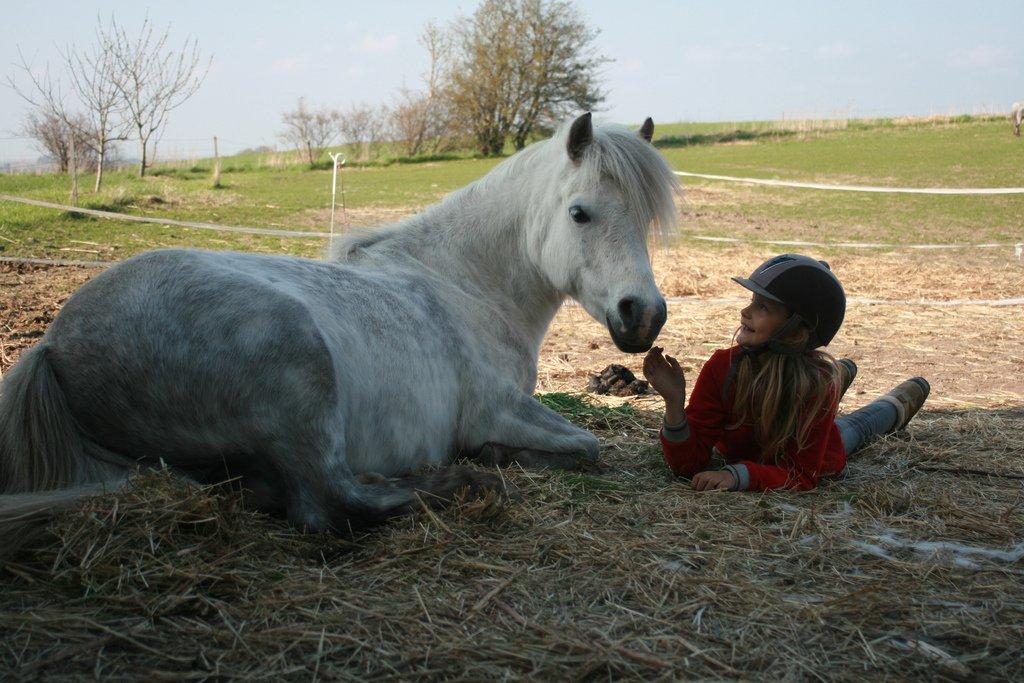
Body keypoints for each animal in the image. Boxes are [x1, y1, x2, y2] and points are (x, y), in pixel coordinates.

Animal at [2, 114, 679, 536]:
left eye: (646, 218)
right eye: (579, 213)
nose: (644, 315)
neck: (460, 285)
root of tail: (54, 345)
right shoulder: (500, 407)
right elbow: (587, 446)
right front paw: (495, 455)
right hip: (300, 376)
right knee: (330, 501)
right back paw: (458, 481)